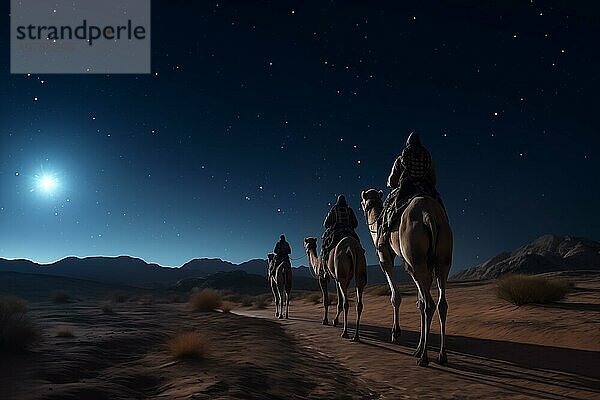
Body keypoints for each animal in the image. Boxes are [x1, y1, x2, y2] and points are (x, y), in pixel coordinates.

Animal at [358, 189, 452, 368]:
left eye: (362, 202)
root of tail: (429, 215)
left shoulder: (385, 257)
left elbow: (396, 296)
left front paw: (395, 333)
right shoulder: (424, 269)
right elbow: (419, 302)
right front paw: (418, 346)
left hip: (415, 257)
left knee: (429, 305)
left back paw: (423, 358)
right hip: (442, 259)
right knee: (440, 304)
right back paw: (441, 356)